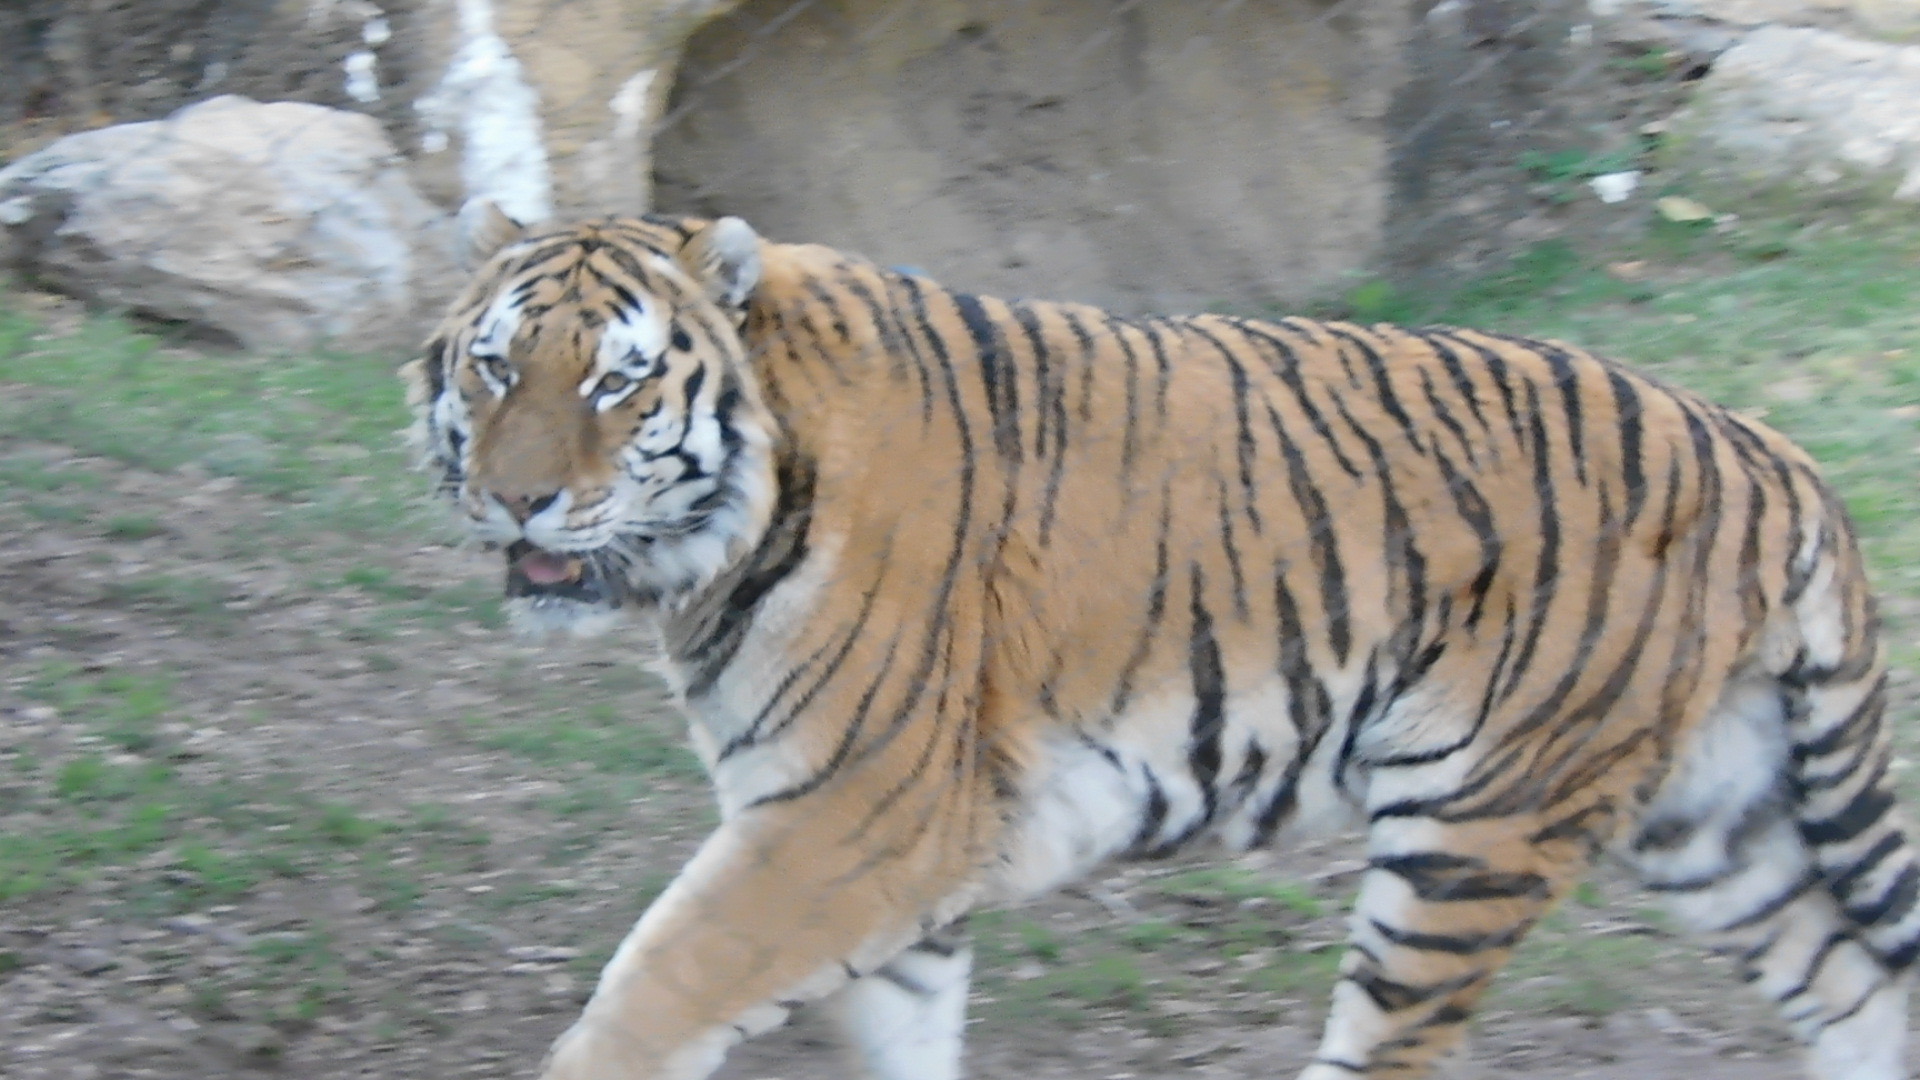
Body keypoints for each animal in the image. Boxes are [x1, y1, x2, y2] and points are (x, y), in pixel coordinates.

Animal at [400, 202, 1919, 1080]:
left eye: (617, 381)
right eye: (496, 364)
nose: (519, 497)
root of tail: (1769, 449)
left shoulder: (854, 815)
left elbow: (650, 996)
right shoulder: (889, 853)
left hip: (1476, 830)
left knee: (1396, 1050)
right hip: (1709, 823)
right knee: (1855, 990)